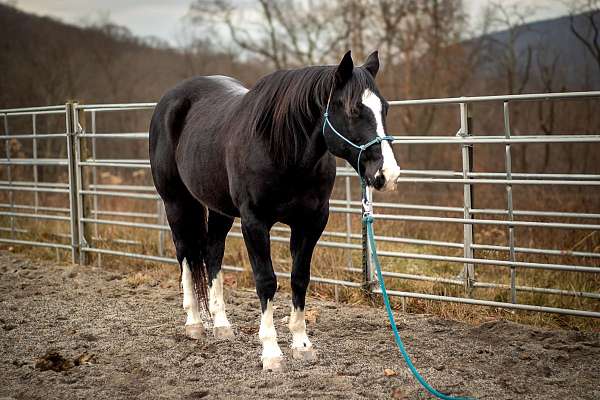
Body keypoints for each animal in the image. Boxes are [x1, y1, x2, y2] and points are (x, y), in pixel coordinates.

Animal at [148, 50, 398, 372]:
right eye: (354, 109)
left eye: (385, 109)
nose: (387, 174)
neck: (282, 148)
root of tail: (171, 99)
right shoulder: (254, 223)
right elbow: (266, 281)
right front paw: (271, 352)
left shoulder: (311, 222)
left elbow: (299, 278)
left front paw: (302, 346)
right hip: (176, 202)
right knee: (185, 256)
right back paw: (194, 323)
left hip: (220, 210)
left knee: (211, 254)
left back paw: (221, 325)